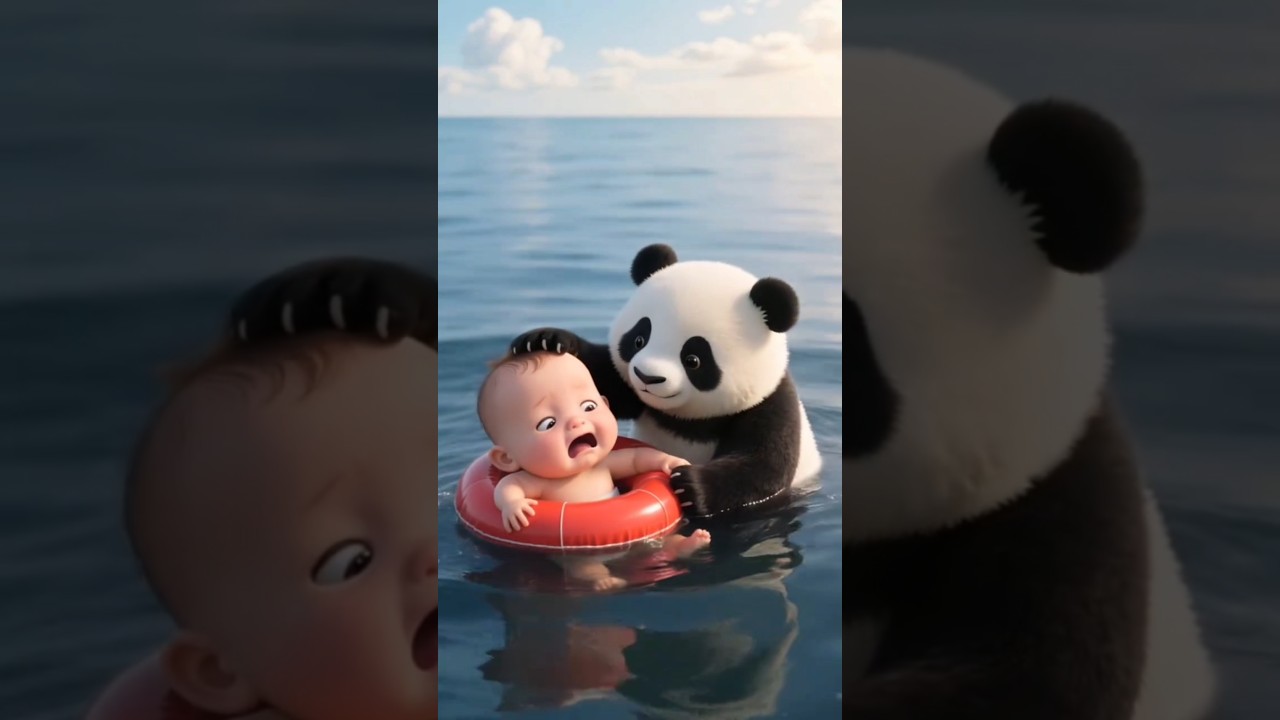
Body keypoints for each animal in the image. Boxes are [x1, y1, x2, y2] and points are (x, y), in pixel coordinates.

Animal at [510, 243, 823, 519]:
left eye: (693, 359)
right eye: (639, 339)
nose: (647, 376)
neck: (689, 420)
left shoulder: (769, 401)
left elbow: (765, 464)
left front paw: (690, 487)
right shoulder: (632, 390)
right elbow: (606, 383)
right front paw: (544, 341)